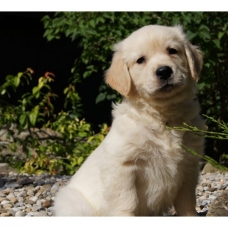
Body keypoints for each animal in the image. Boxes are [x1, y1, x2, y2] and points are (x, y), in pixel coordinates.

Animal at [54, 25, 206, 216]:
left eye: (173, 51)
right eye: (140, 60)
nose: (164, 71)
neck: (162, 117)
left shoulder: (189, 164)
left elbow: (186, 201)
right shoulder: (122, 166)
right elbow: (126, 201)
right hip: (72, 201)